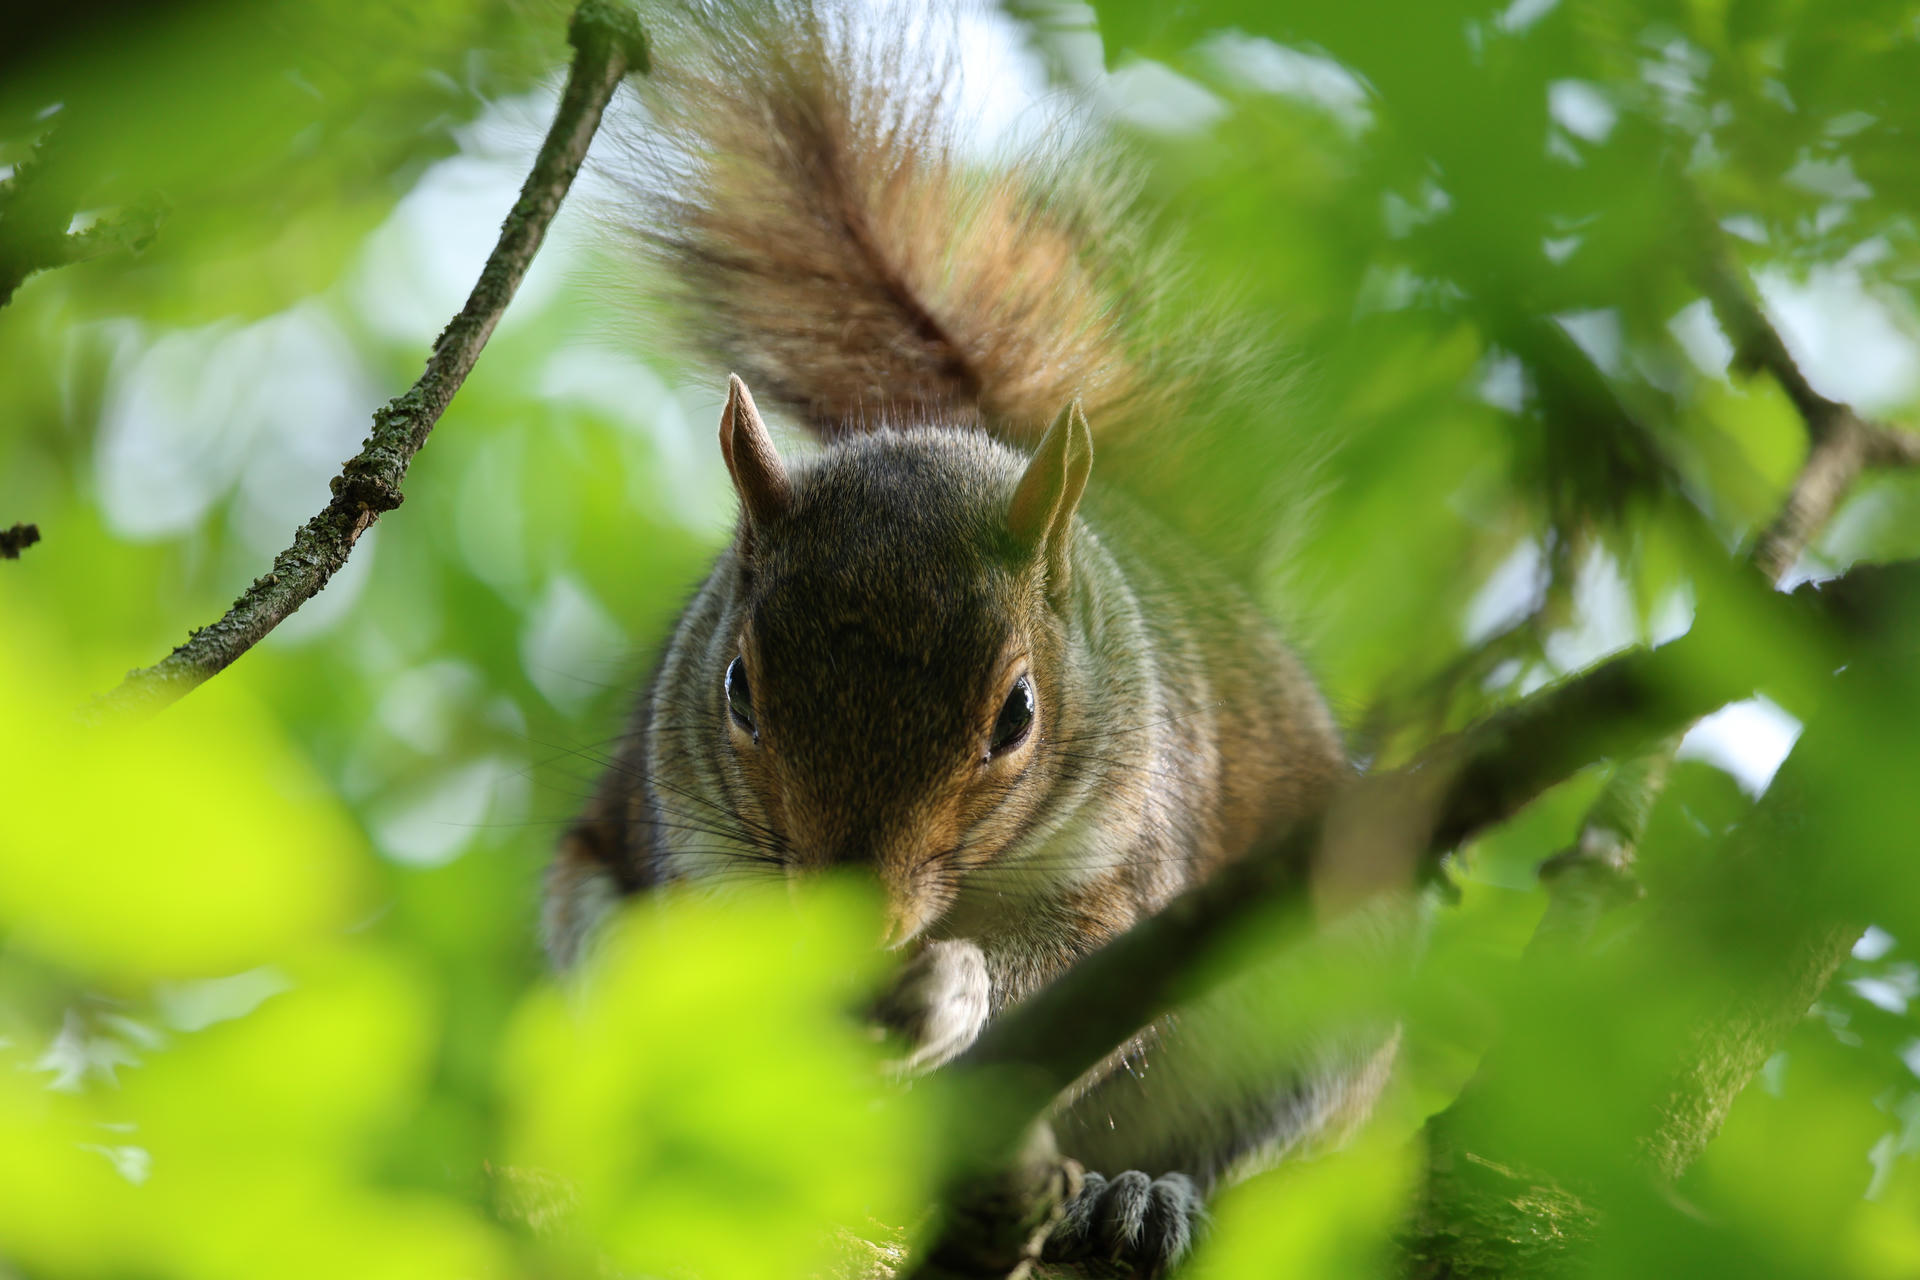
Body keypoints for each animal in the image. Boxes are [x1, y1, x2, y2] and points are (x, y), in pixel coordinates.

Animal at [542, 3, 1382, 1270]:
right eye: (738, 689)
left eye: (1018, 715)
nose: (865, 926)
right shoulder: (695, 849)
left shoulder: (1127, 872)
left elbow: (1070, 966)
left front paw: (953, 988)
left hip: (1317, 1007)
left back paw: (1144, 1194)